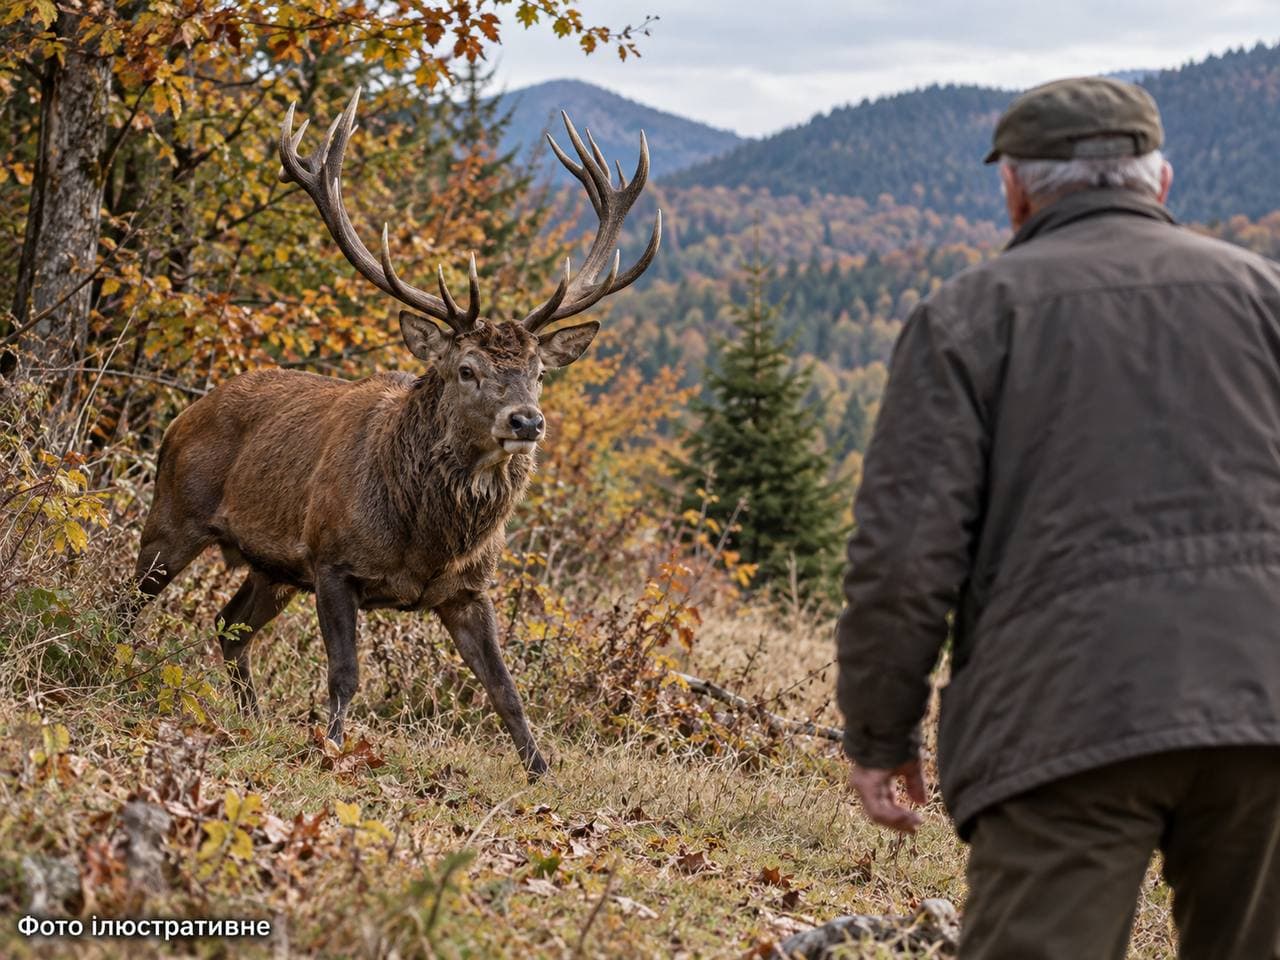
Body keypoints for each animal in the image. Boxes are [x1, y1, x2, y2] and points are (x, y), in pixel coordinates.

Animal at [128, 88, 660, 779]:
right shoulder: (331, 559)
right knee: (129, 599)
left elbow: (507, 690)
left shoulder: (468, 589)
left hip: (273, 570)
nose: (527, 420)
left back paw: (250, 718)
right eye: (467, 369)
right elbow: (345, 675)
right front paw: (330, 749)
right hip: (174, 516)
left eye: (539, 373)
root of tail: (182, 416)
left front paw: (542, 772)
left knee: (229, 624)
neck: (424, 539)